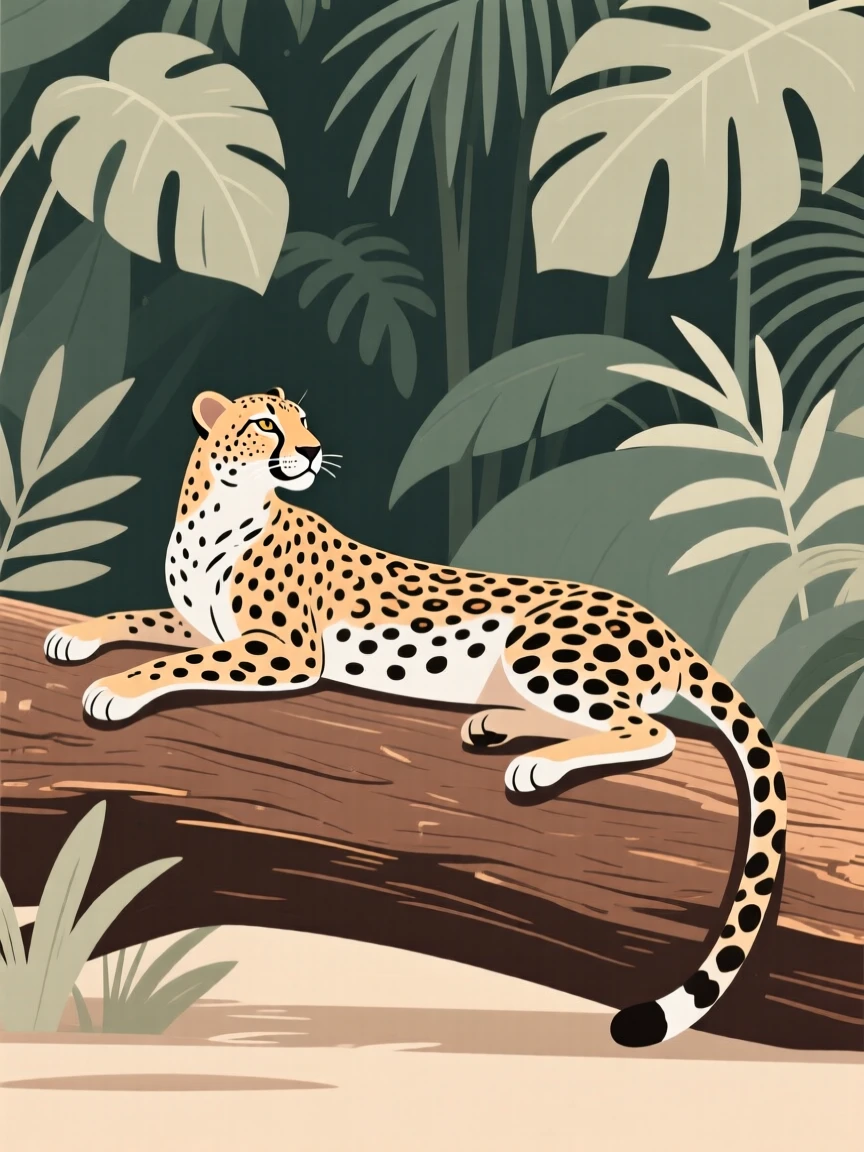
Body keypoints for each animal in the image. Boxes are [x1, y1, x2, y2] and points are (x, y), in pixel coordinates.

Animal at [45, 386, 787, 1048]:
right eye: (265, 423)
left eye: (302, 421)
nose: (311, 451)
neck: (218, 514)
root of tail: (664, 625)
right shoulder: (204, 627)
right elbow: (137, 617)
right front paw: (76, 636)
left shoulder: (284, 649)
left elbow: (178, 664)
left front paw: (115, 689)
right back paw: (497, 726)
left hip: (539, 648)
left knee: (651, 731)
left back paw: (538, 766)